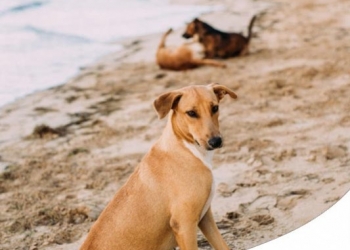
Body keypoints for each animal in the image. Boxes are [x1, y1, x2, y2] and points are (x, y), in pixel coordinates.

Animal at [80, 83, 237, 249]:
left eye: (215, 108)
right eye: (191, 113)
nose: (216, 141)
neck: (187, 148)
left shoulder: (205, 217)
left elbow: (222, 245)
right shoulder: (184, 224)